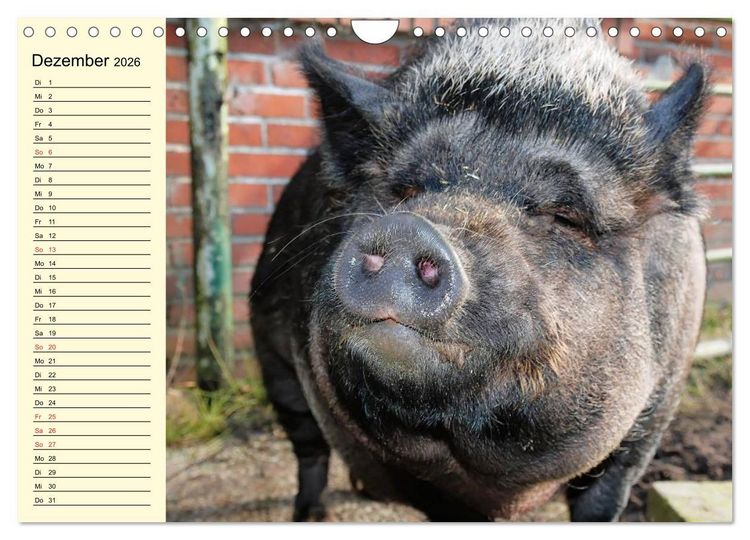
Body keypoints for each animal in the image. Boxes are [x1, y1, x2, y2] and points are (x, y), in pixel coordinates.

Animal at [249, 18, 708, 521]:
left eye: (565, 216)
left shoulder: (651, 419)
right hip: (272, 355)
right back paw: (312, 515)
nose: (408, 229)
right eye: (405, 191)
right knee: (307, 445)